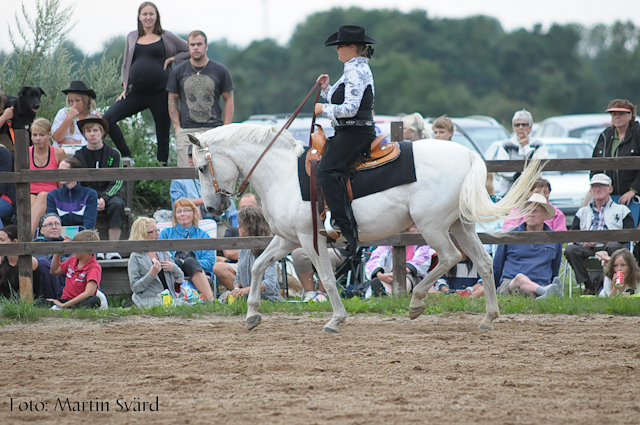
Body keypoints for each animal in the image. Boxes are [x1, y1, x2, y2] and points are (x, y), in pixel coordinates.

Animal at [188, 122, 544, 332]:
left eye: (202, 167)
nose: (211, 208)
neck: (282, 173)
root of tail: (468, 156)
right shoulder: (288, 239)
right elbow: (259, 265)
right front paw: (252, 315)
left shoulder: (309, 239)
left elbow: (327, 279)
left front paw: (336, 319)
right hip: (460, 224)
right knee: (483, 262)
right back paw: (488, 318)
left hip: (433, 226)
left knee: (448, 258)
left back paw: (416, 303)